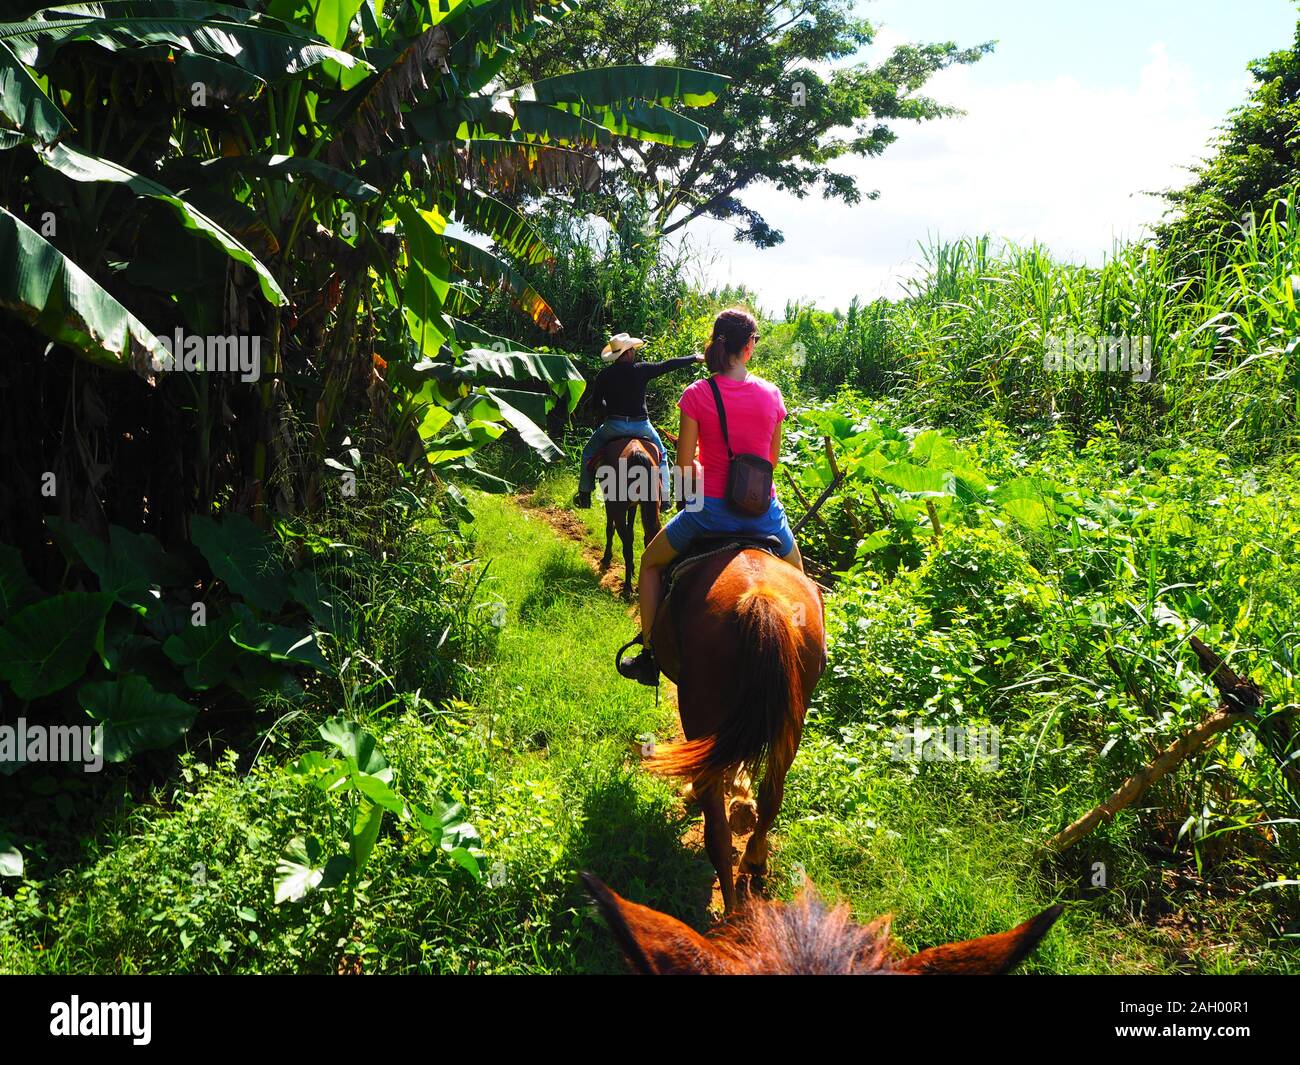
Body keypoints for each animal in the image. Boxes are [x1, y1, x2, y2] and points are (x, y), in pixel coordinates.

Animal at [595, 434, 660, 600]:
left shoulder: (611, 502)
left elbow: (609, 529)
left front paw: (606, 558)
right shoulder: (633, 506)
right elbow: (631, 531)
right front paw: (632, 569)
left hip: (618, 507)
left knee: (627, 546)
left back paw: (627, 588)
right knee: (649, 536)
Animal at [647, 546, 821, 910]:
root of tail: (761, 598)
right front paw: (741, 789)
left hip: (699, 709)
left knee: (716, 829)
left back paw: (730, 908)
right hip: (792, 722)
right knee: (772, 795)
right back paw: (754, 860)